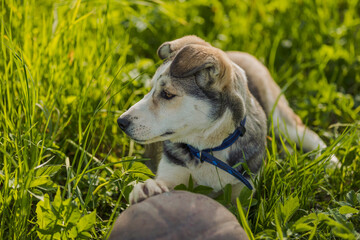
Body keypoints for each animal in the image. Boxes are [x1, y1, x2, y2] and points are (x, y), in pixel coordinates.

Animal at [117, 35, 334, 204]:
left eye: (168, 94)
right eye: (150, 89)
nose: (121, 122)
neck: (208, 149)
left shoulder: (244, 188)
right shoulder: (172, 170)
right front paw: (147, 189)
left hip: (280, 113)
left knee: (308, 135)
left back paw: (331, 164)